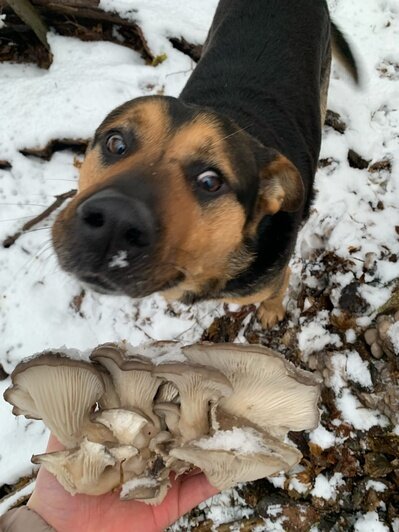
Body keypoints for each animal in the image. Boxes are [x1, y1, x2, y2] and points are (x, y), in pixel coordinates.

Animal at [51, 0, 358, 326]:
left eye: (210, 182)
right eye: (116, 143)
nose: (114, 222)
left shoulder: (273, 278)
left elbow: (277, 289)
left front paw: (271, 311)